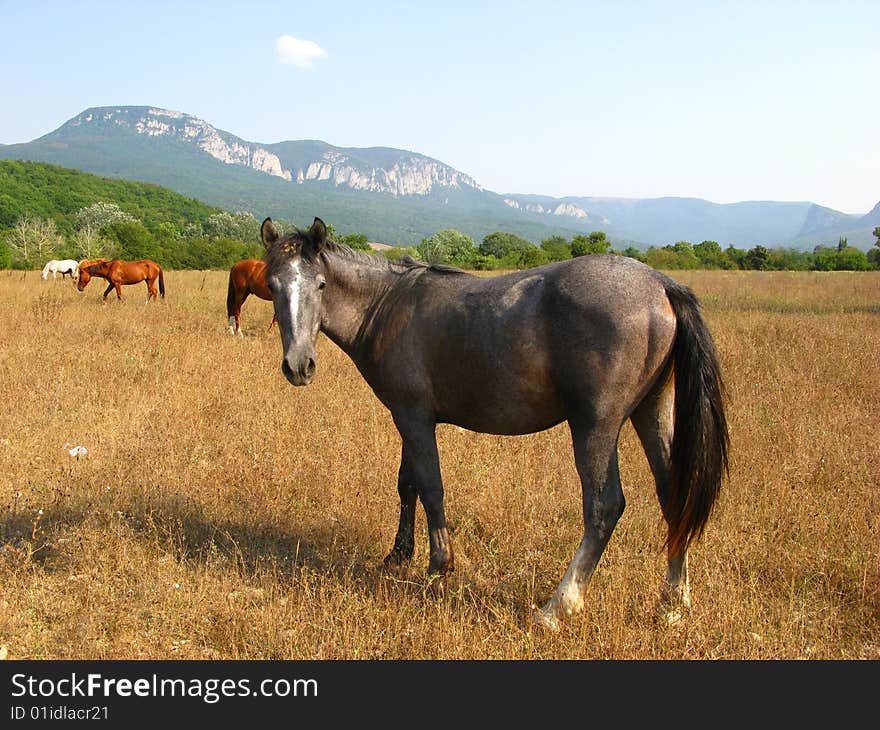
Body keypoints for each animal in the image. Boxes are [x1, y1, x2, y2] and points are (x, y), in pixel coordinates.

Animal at [260, 215, 728, 624]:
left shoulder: (414, 418)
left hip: (595, 426)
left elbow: (430, 487)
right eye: (272, 285)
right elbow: (407, 484)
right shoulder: (408, 417)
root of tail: (661, 285)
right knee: (673, 495)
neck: (387, 304)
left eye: (321, 284)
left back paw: (558, 606)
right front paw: (397, 556)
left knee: (604, 506)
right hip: (652, 411)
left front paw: (439, 565)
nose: (298, 366)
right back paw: (672, 602)